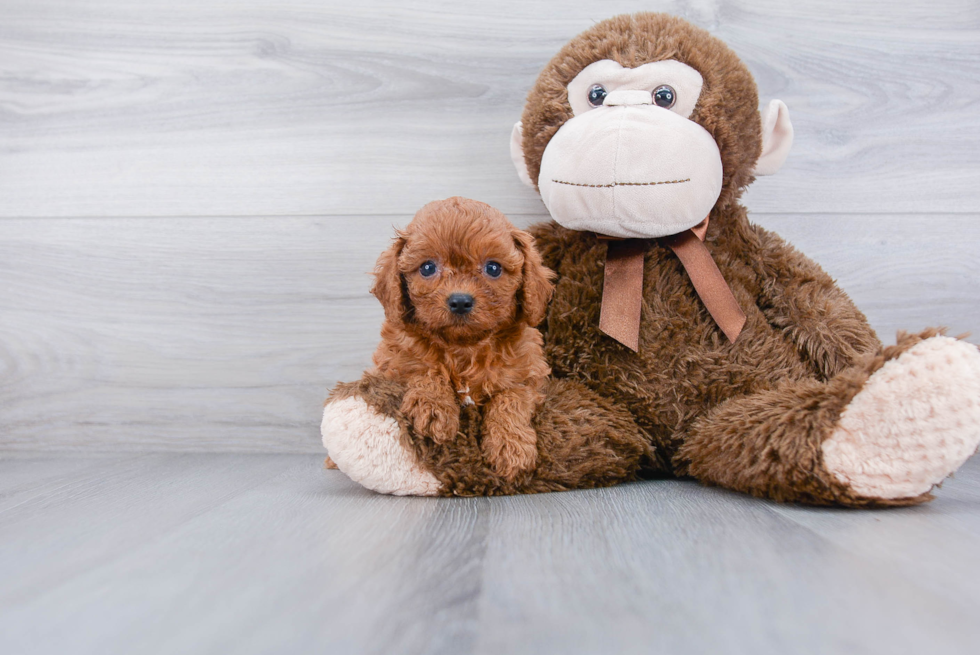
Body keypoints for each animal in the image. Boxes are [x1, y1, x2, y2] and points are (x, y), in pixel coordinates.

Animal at [372, 197, 556, 480]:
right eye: (427, 267)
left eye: (493, 268)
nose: (460, 301)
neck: (464, 347)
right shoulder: (393, 363)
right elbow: (425, 369)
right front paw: (435, 407)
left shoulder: (529, 376)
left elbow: (511, 399)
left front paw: (510, 446)